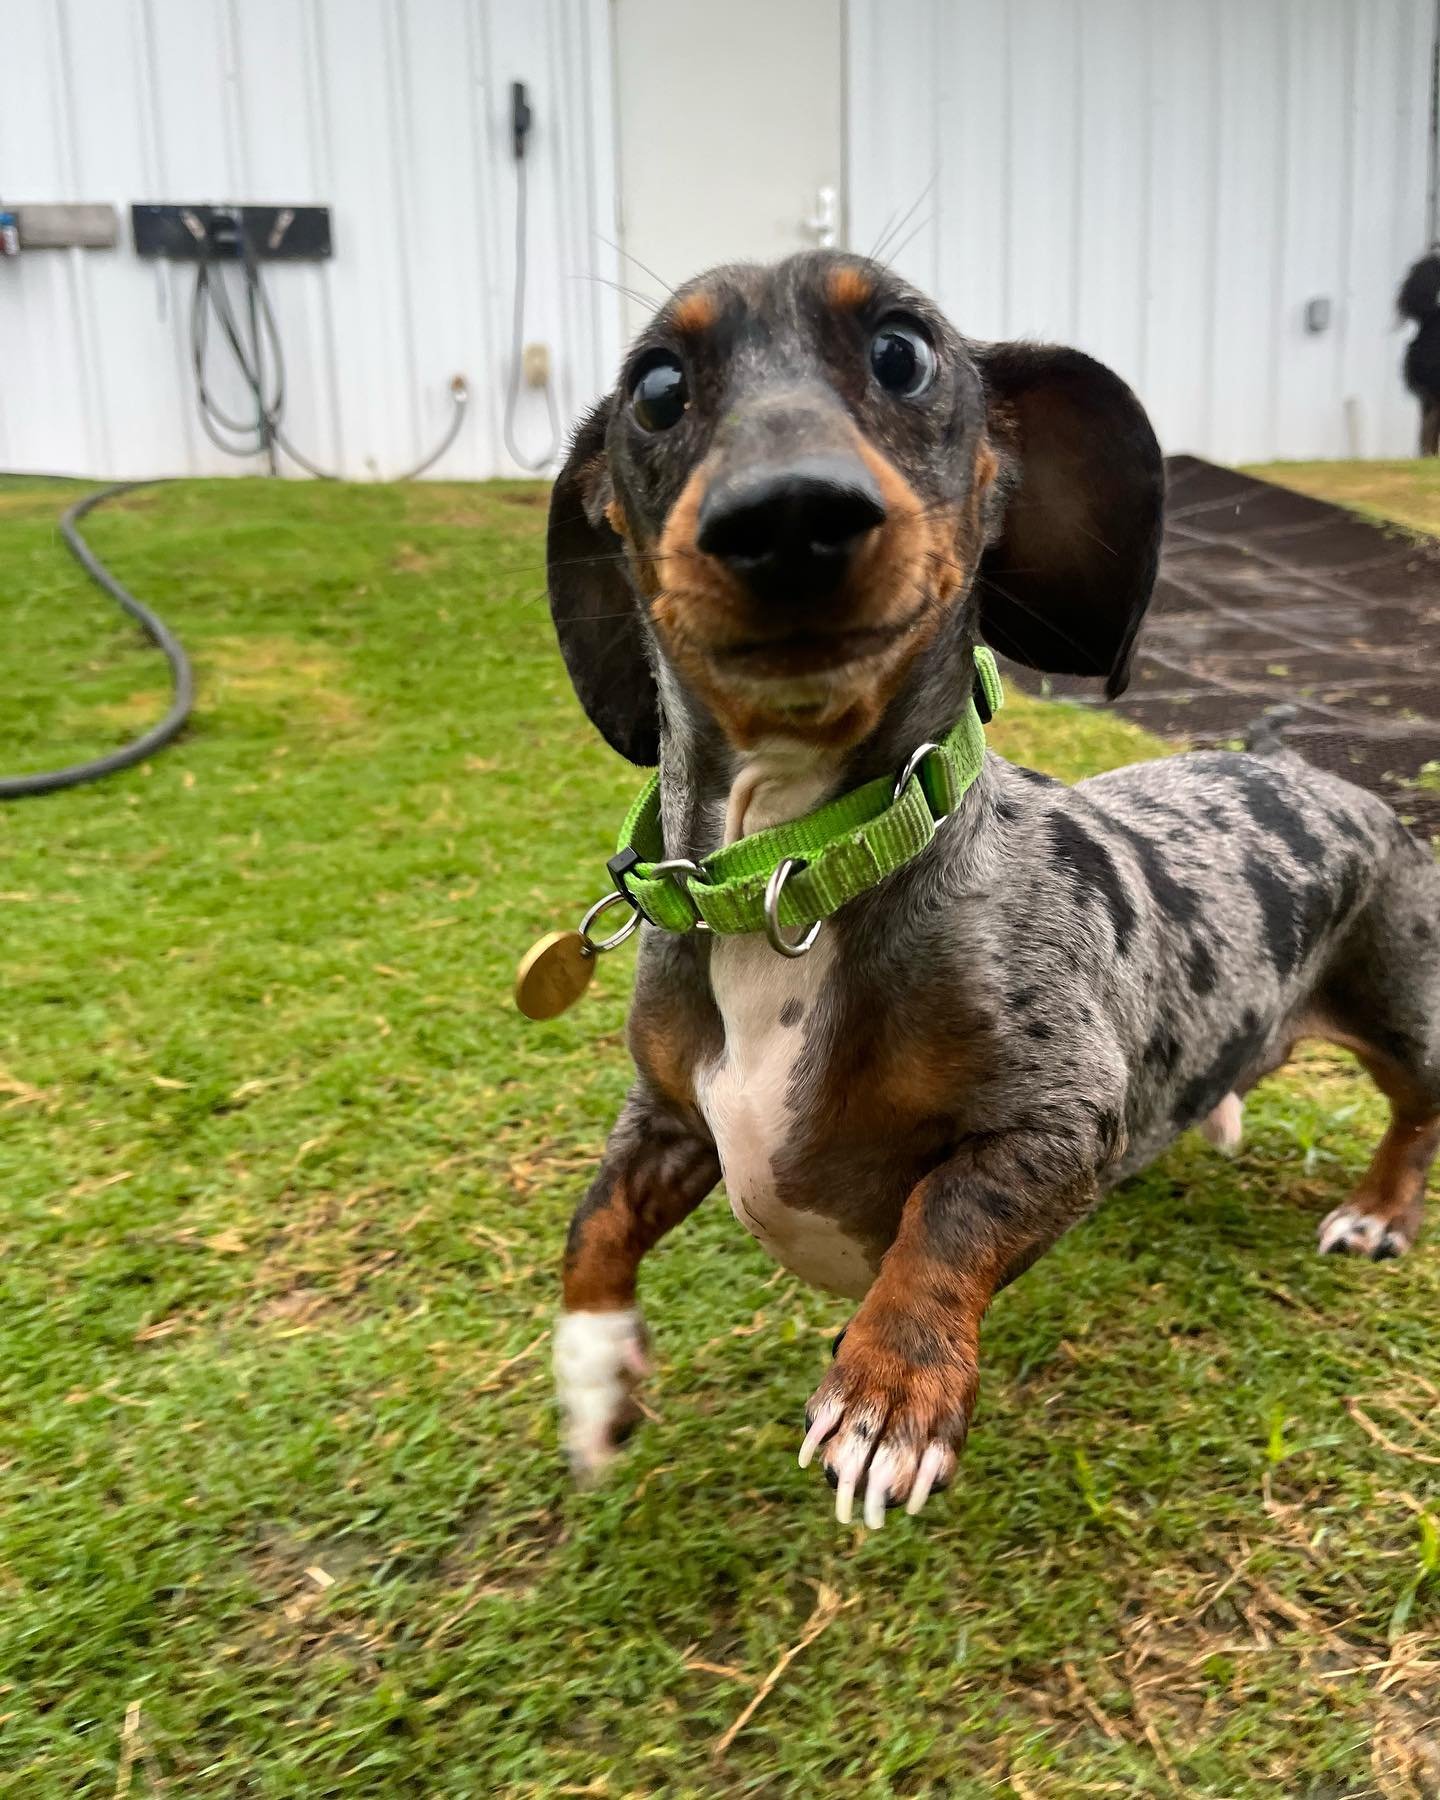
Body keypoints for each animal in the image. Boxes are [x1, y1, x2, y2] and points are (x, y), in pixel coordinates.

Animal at [543, 250, 1440, 1519]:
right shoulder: (669, 1116)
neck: (798, 869)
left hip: (1408, 1014)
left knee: (1419, 1114)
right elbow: (595, 1225)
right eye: (658, 388)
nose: (788, 516)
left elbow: (945, 1218)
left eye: (904, 352)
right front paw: (593, 1378)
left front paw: (891, 1392)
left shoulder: (1058, 1121)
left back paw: (1378, 1213)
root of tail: (1313, 769)